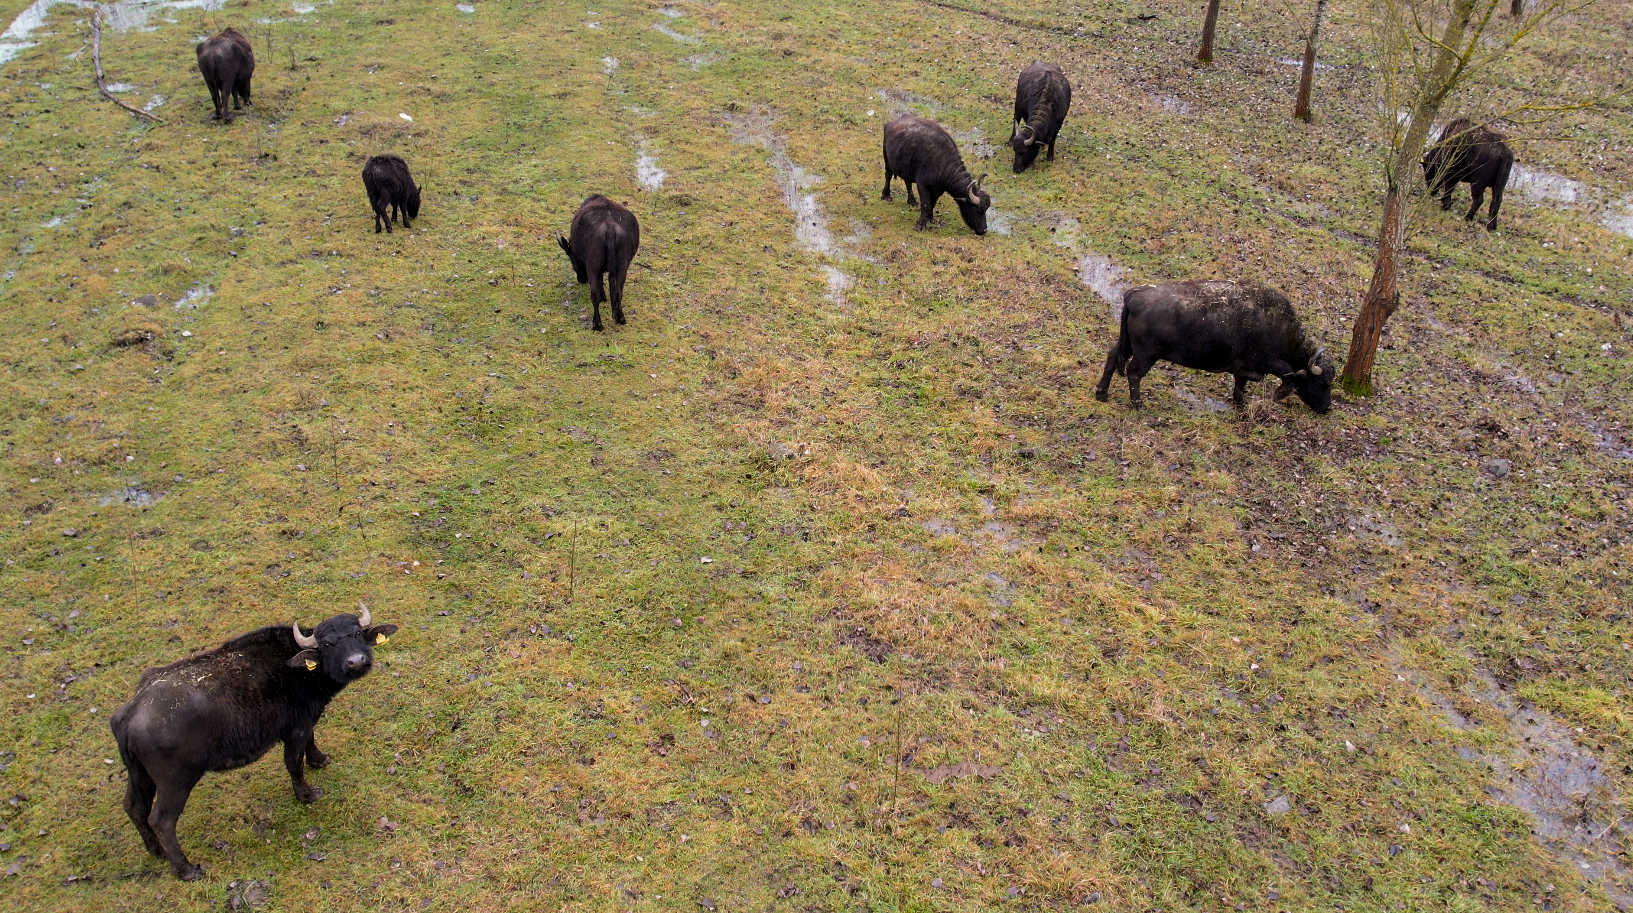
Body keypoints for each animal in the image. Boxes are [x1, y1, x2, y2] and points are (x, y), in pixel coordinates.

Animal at [109, 604, 398, 880]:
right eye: (327, 644)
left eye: (357, 633)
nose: (356, 661)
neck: (296, 669)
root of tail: (130, 712)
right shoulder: (295, 731)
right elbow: (294, 763)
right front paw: (307, 794)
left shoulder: (307, 721)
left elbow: (312, 741)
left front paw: (319, 759)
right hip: (175, 782)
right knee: (162, 821)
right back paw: (187, 870)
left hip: (139, 775)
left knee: (134, 808)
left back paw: (155, 850)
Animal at [558, 194, 641, 331]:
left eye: (571, 258)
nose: (582, 279)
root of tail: (610, 226)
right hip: (622, 265)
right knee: (618, 291)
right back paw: (620, 318)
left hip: (593, 264)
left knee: (594, 294)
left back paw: (597, 324)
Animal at [1094, 280, 1333, 414]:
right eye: (1322, 383)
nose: (1327, 408)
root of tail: (1135, 294)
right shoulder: (1264, 361)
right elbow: (1285, 371)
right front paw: (1276, 394)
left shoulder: (1244, 368)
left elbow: (1240, 385)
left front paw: (1241, 404)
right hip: (1145, 355)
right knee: (1134, 373)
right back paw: (1138, 404)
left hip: (1127, 345)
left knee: (1112, 357)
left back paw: (1102, 394)